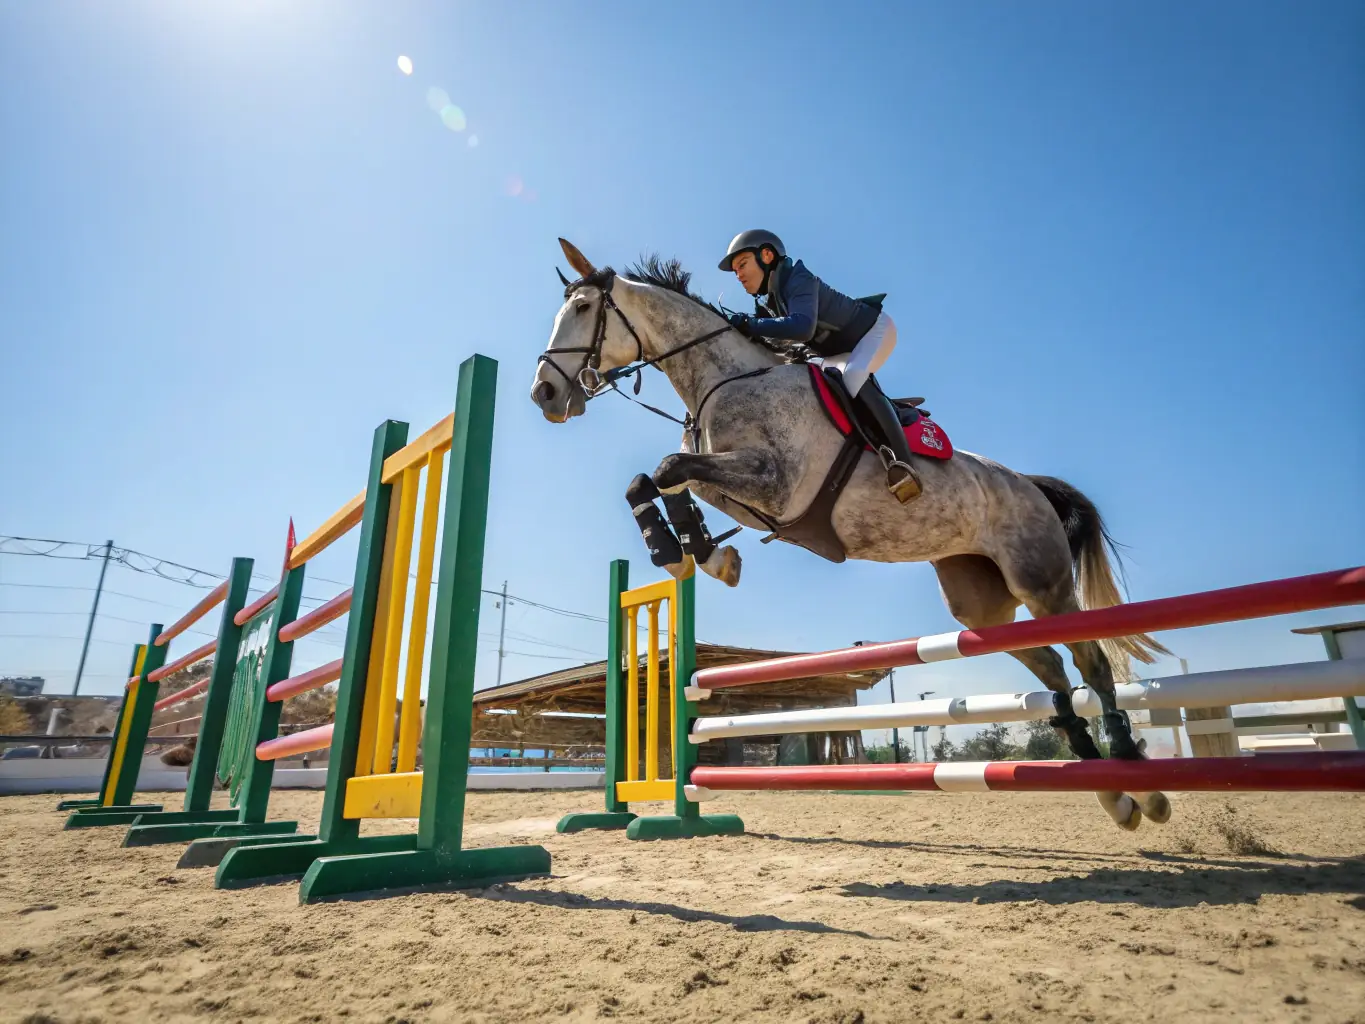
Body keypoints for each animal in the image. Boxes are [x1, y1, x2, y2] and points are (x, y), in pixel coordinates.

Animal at [531, 238, 1173, 831]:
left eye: (583, 307)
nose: (545, 395)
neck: (727, 378)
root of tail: (1031, 485)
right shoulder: (751, 495)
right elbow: (655, 478)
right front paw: (696, 555)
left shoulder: (777, 484)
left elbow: (668, 468)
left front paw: (692, 553)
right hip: (980, 604)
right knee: (1051, 666)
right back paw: (1112, 793)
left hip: (1042, 583)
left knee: (1091, 662)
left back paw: (1141, 784)